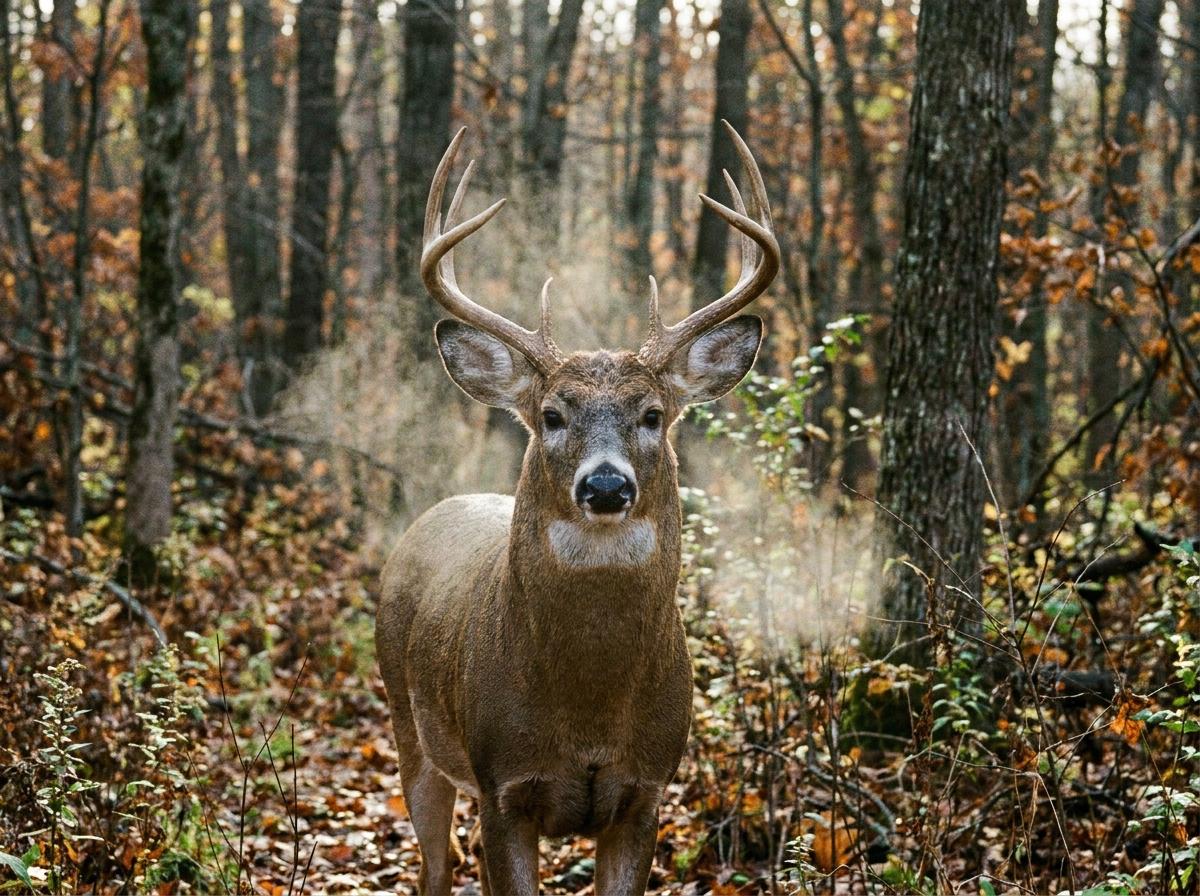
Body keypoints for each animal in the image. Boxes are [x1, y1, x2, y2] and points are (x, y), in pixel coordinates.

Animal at [376, 121, 780, 896]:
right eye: (552, 415)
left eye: (653, 414)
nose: (606, 487)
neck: (589, 709)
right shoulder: (502, 788)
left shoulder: (645, 791)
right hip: (411, 731)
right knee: (434, 868)